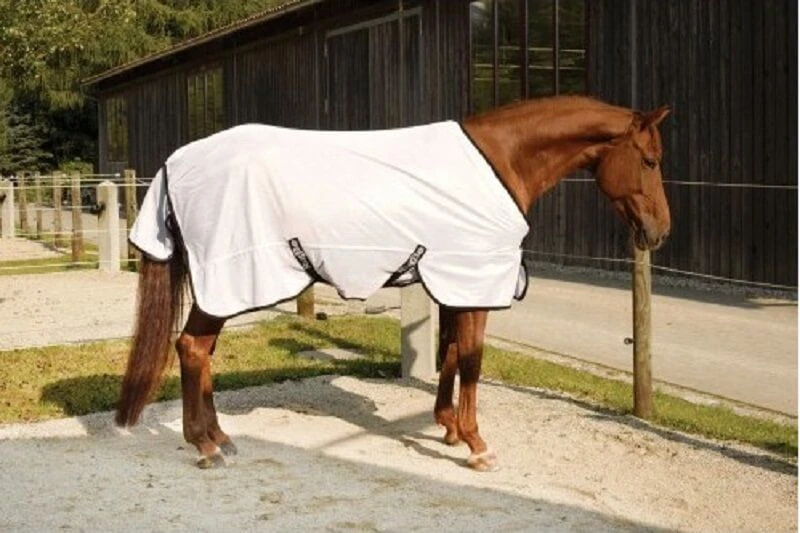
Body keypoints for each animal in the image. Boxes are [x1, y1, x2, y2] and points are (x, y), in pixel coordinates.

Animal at [115, 95, 671, 471]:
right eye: (650, 160)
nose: (659, 231)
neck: (500, 161)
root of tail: (175, 163)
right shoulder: (474, 283)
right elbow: (472, 360)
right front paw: (476, 445)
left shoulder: (454, 284)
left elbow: (451, 353)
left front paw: (448, 428)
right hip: (228, 282)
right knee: (192, 348)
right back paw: (206, 444)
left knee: (201, 352)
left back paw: (219, 438)